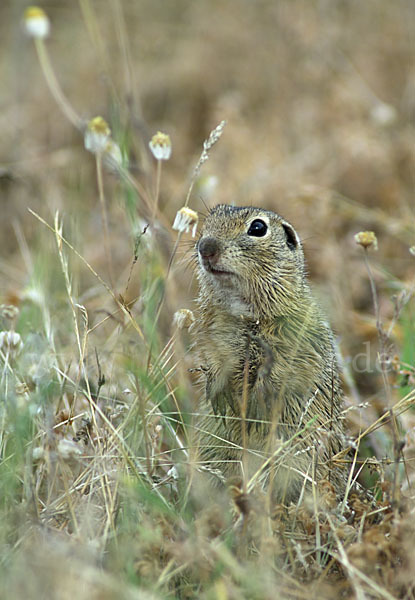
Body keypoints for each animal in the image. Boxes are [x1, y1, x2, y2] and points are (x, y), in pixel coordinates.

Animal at [193, 205, 346, 502]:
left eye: (257, 228)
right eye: (210, 219)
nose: (205, 247)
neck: (244, 310)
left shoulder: (293, 343)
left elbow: (280, 374)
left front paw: (254, 404)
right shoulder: (213, 336)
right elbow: (212, 362)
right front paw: (219, 395)